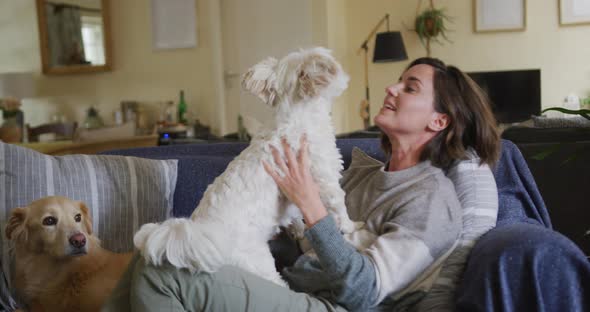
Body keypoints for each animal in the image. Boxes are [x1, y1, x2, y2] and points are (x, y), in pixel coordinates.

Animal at [134, 47, 356, 288]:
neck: (294, 116)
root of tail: (205, 233)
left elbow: (296, 214)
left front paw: (298, 228)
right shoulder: (323, 177)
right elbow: (338, 204)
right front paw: (350, 227)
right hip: (259, 263)